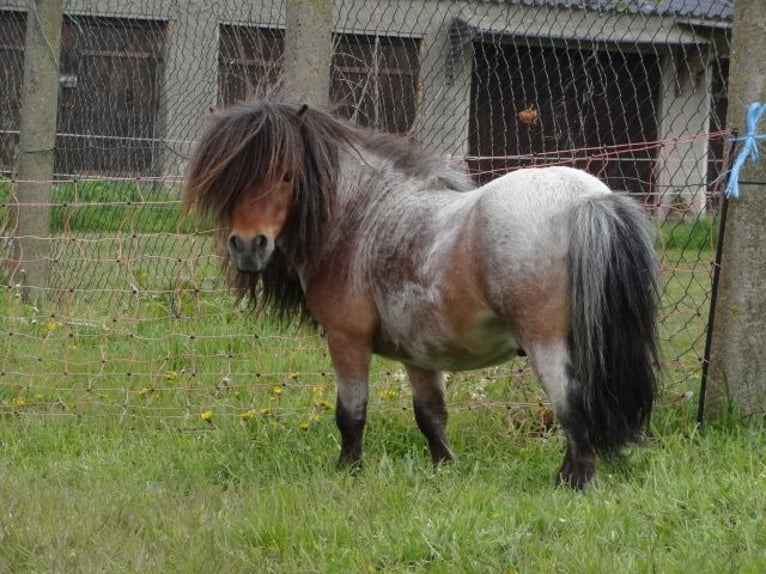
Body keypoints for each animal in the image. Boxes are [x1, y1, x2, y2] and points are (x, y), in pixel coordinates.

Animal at [186, 101, 660, 488]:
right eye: (229, 178)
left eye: (286, 175)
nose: (249, 246)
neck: (364, 219)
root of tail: (586, 200)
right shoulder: (420, 355)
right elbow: (431, 416)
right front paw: (445, 469)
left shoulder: (346, 340)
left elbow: (351, 414)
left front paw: (349, 471)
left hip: (546, 343)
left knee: (571, 404)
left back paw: (575, 482)